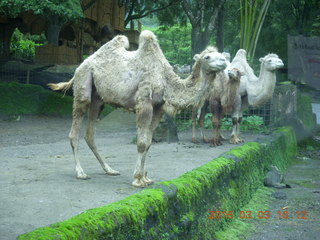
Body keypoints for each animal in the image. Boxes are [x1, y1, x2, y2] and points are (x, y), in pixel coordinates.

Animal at [48, 29, 228, 188]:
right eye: (207, 56)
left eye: (220, 55)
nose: (224, 61)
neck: (166, 82)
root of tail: (81, 65)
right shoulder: (144, 103)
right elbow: (141, 143)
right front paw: (137, 180)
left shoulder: (158, 108)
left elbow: (148, 142)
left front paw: (146, 178)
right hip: (84, 86)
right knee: (74, 131)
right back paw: (81, 172)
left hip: (98, 99)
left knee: (90, 133)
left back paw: (109, 169)